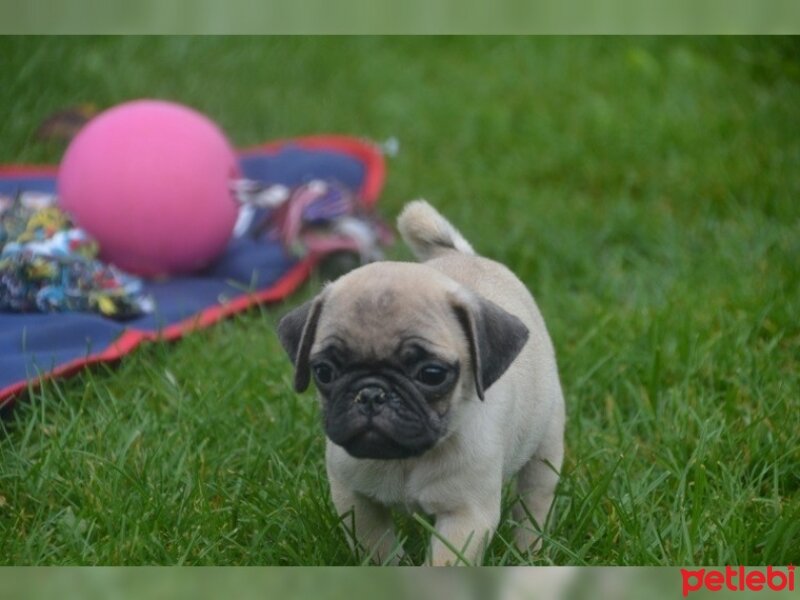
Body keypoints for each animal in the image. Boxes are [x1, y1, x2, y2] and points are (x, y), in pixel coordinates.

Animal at [278, 200, 564, 564]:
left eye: (431, 374)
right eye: (324, 372)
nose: (371, 393)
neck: (407, 458)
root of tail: (463, 254)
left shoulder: (466, 515)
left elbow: (446, 560)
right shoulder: (354, 501)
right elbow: (377, 547)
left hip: (546, 445)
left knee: (535, 501)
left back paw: (530, 552)